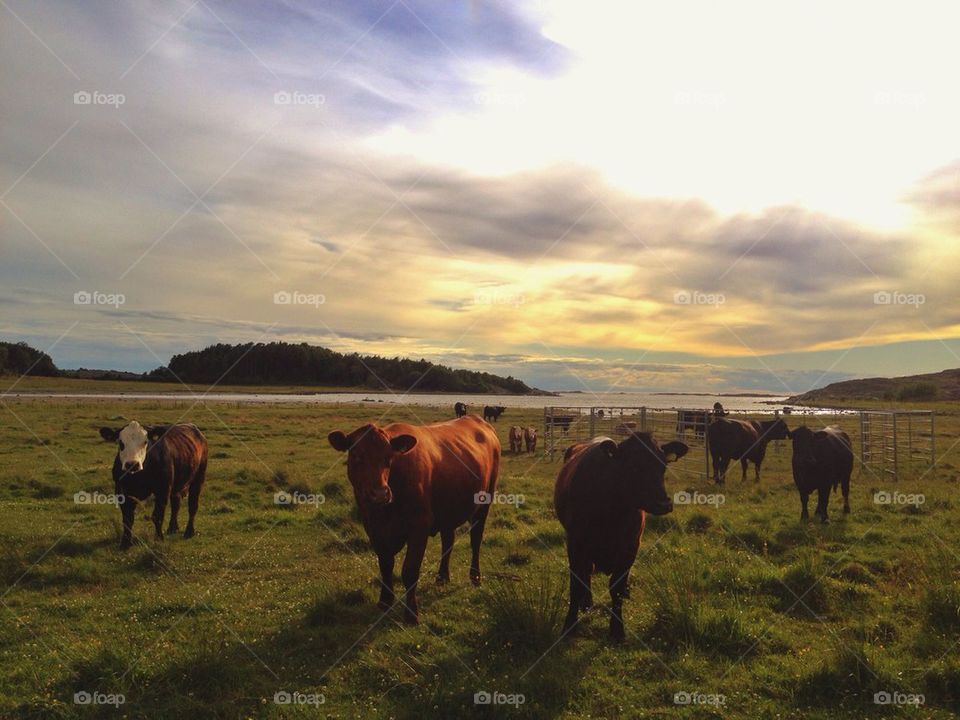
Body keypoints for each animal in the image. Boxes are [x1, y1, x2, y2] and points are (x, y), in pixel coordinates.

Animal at [98, 421, 208, 550]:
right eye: (121, 442)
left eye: (145, 442)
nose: (132, 464)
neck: (138, 476)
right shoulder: (122, 492)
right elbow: (127, 519)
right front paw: (125, 543)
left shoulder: (162, 490)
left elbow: (157, 516)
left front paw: (159, 538)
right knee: (176, 504)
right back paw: (172, 528)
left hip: (198, 478)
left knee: (192, 506)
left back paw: (189, 532)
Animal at [328, 415, 500, 624]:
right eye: (356, 456)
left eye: (389, 457)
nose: (380, 493)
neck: (384, 512)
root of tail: (476, 419)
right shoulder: (373, 528)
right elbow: (385, 564)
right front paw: (385, 601)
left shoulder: (419, 526)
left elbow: (409, 570)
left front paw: (411, 614)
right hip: (447, 511)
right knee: (448, 541)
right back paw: (442, 577)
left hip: (484, 503)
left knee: (475, 540)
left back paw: (475, 577)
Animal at [555, 432, 688, 640]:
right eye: (633, 466)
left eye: (663, 465)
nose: (663, 503)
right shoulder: (575, 543)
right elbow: (576, 585)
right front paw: (569, 625)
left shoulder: (631, 546)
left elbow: (616, 588)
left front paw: (617, 630)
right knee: (586, 574)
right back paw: (587, 601)